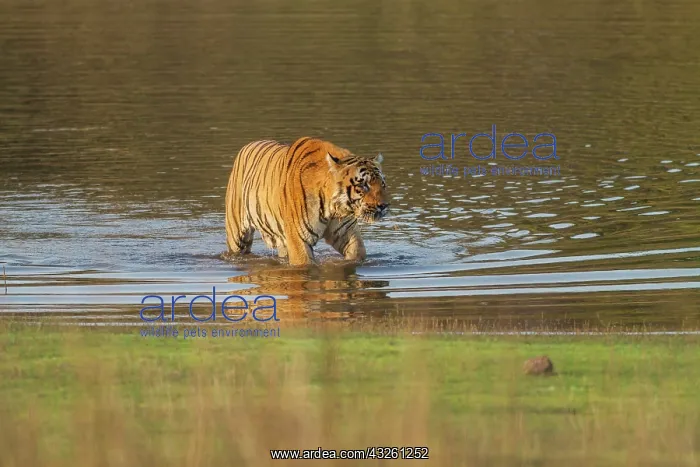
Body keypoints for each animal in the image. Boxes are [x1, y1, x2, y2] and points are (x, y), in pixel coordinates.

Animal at [224, 137, 390, 266]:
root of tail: (247, 145)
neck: (334, 208)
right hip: (237, 235)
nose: (384, 206)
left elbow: (358, 253)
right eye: (363, 185)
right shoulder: (298, 239)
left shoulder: (345, 231)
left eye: (382, 183)